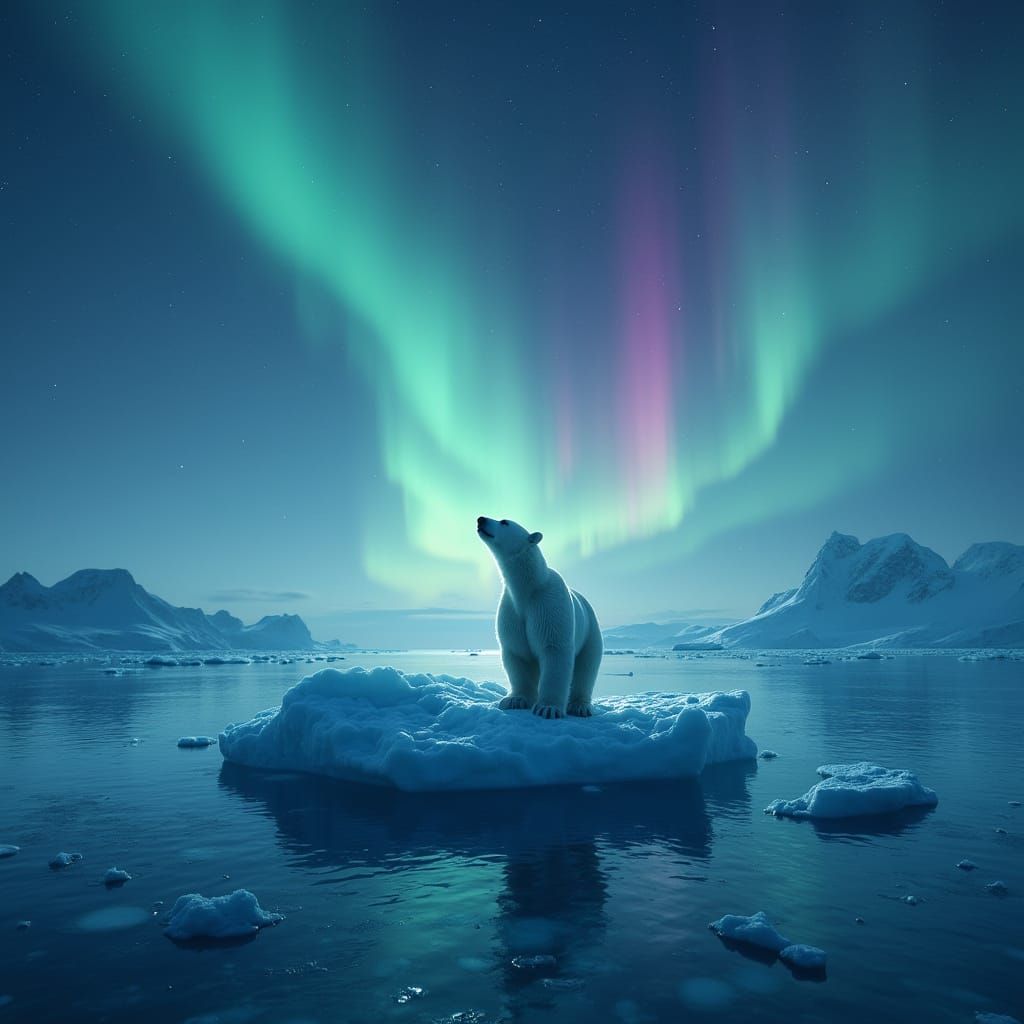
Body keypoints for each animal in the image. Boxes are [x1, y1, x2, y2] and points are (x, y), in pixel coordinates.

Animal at [477, 516, 603, 719]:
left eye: (504, 522)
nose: (480, 519)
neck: (529, 587)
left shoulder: (548, 605)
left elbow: (554, 650)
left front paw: (548, 708)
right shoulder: (511, 611)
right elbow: (517, 654)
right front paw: (514, 700)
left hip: (590, 632)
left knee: (586, 668)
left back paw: (580, 706)